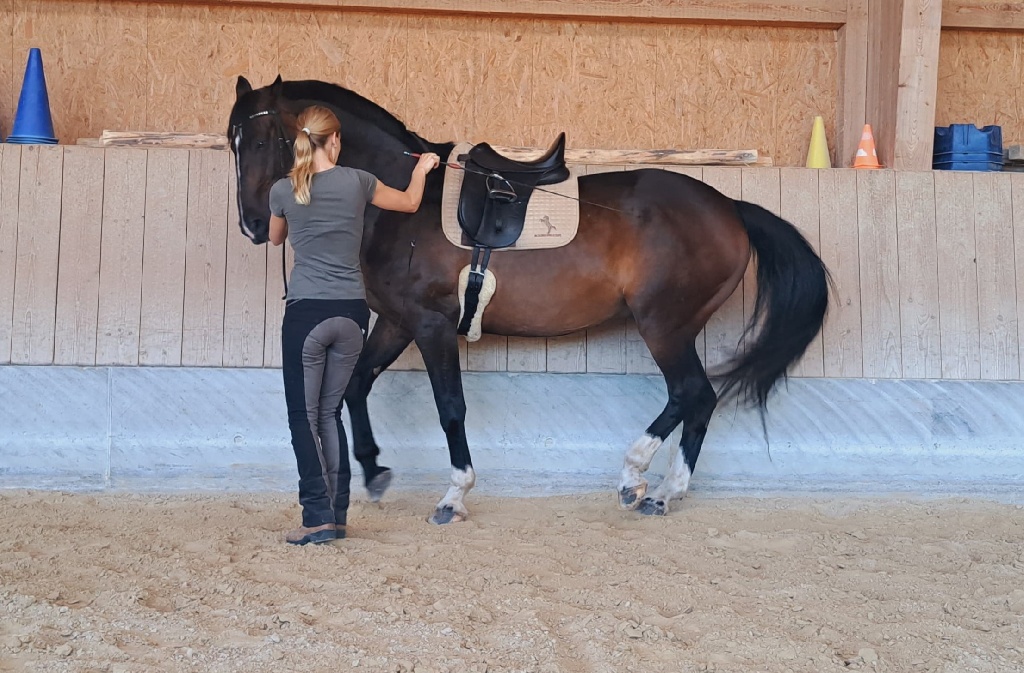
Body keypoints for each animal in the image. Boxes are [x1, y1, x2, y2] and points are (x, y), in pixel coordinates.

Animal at [228, 75, 831, 524]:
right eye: (232, 142)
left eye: (265, 140)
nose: (255, 226)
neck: (401, 202)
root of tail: (730, 209)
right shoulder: (398, 323)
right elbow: (356, 385)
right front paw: (375, 474)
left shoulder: (430, 325)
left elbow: (450, 407)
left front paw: (454, 495)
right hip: (676, 327)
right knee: (698, 401)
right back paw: (663, 491)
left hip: (663, 325)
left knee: (690, 393)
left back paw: (637, 479)